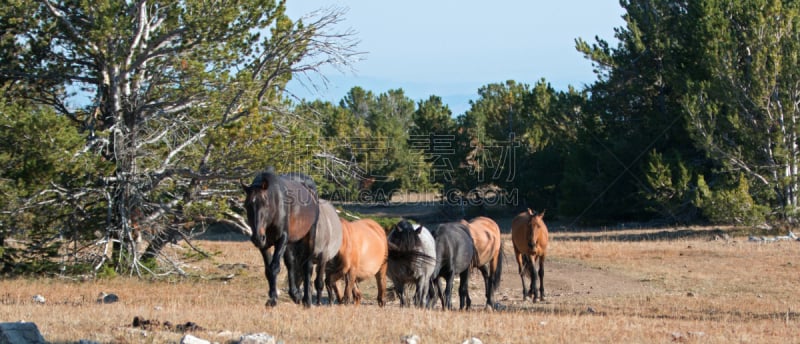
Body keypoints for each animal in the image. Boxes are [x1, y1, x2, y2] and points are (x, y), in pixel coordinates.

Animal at [242, 169, 320, 306]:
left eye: (266, 204)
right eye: (247, 205)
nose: (257, 237)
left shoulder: (281, 239)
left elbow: (274, 267)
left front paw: (273, 299)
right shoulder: (265, 245)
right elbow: (269, 270)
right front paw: (273, 296)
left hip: (309, 235)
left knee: (307, 266)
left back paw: (307, 300)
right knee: (291, 263)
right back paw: (295, 294)